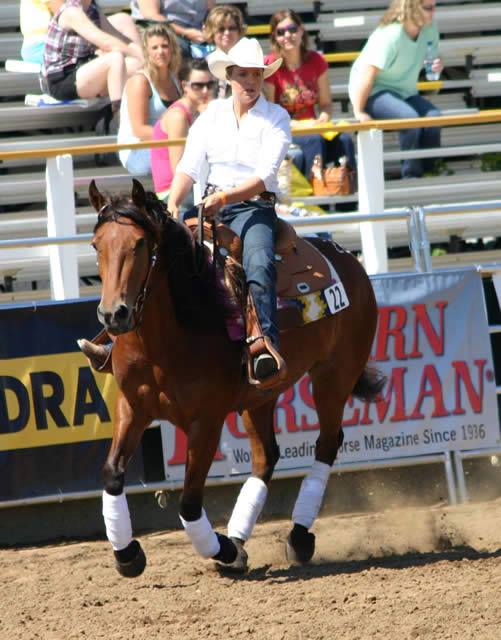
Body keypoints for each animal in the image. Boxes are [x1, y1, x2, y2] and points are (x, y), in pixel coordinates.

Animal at [83, 178, 384, 577]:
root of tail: (346, 257)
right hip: (262, 395)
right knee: (265, 458)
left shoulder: (206, 421)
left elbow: (189, 502)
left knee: (326, 445)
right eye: (96, 245)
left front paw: (221, 549)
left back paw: (297, 537)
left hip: (334, 376)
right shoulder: (132, 407)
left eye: (140, 244)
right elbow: (112, 474)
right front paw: (127, 554)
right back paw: (241, 540)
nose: (113, 314)